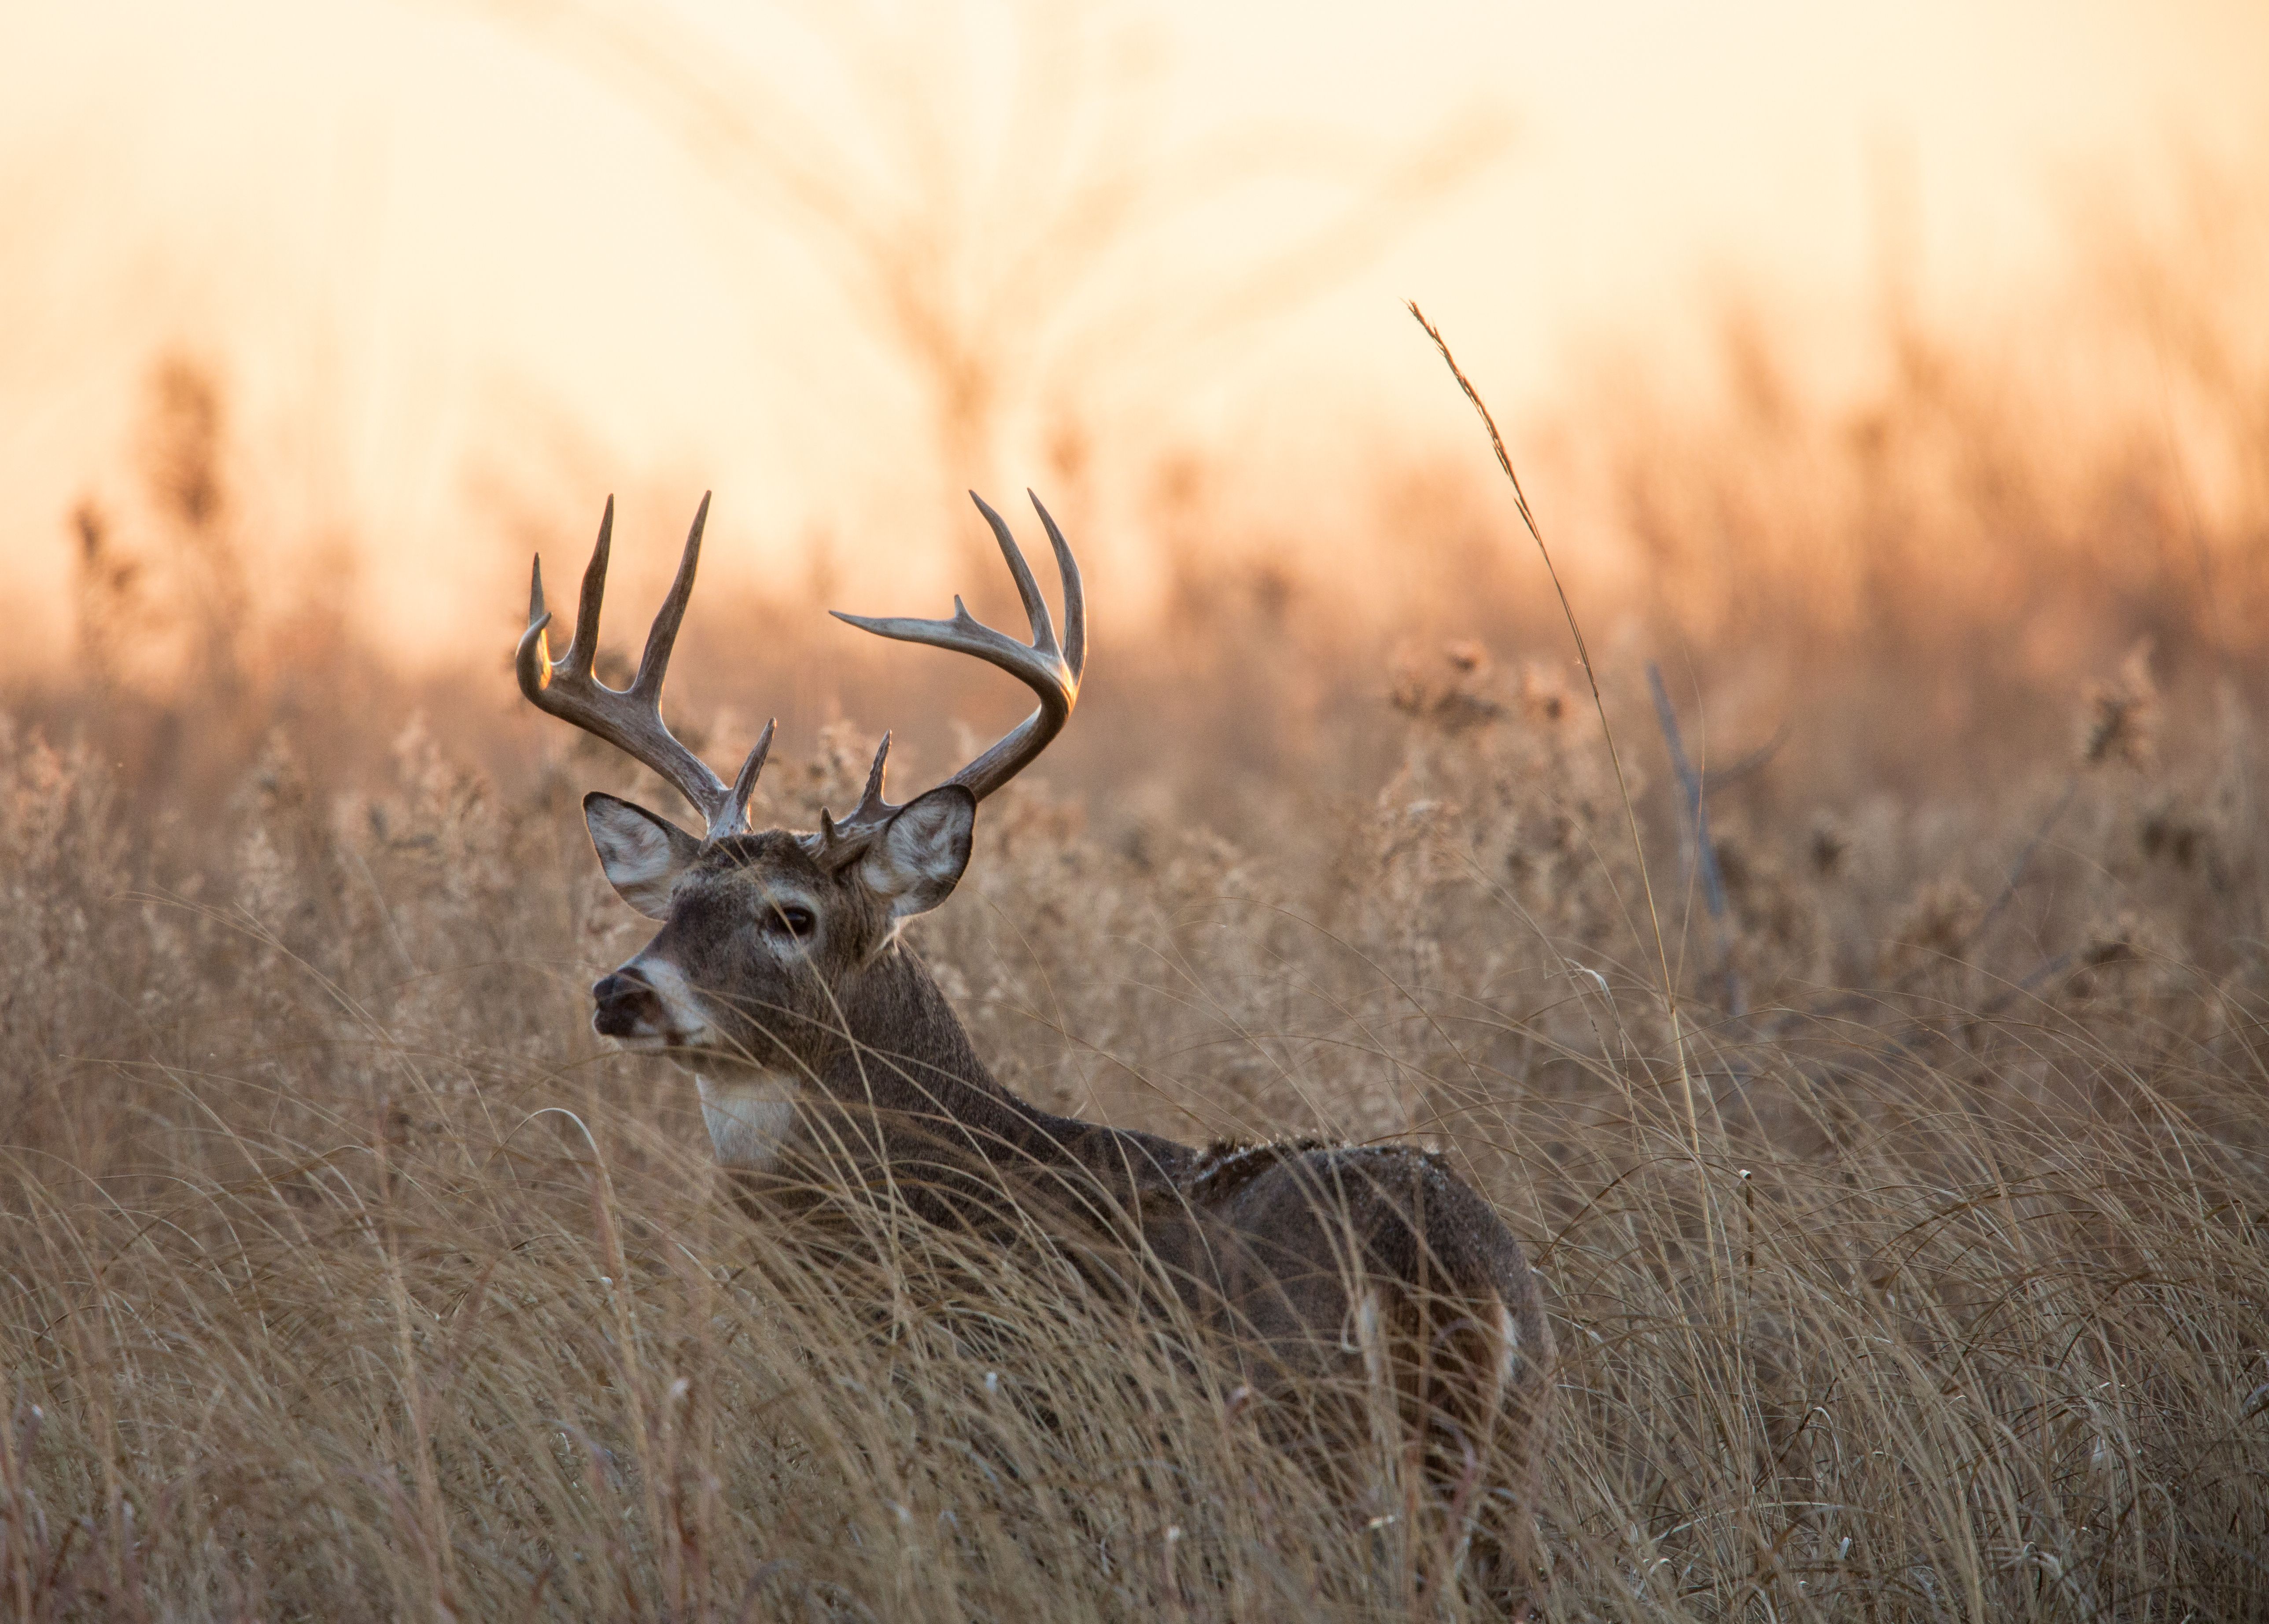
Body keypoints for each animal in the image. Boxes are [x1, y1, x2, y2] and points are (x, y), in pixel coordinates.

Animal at [516, 491, 1554, 1610]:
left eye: (790, 915)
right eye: (675, 902)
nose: (621, 990)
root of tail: (1426, 1268)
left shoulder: (1006, 1424)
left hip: (1302, 1442)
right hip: (1503, 1456)